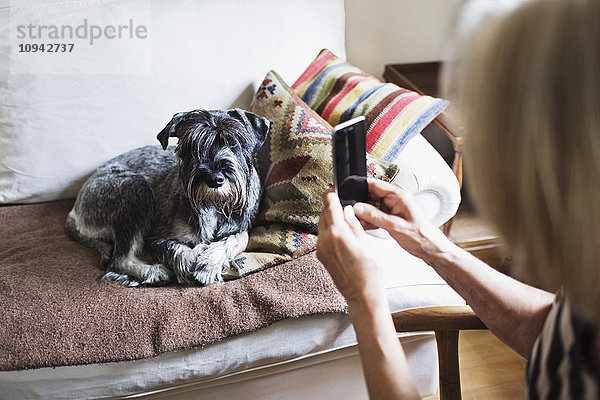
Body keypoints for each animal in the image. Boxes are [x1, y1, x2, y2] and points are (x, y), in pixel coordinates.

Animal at [65, 108, 270, 286]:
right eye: (191, 145)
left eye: (233, 141)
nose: (214, 178)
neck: (214, 205)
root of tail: (74, 212)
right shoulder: (156, 239)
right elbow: (176, 248)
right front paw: (192, 260)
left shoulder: (241, 228)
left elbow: (238, 238)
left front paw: (209, 264)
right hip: (135, 189)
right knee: (119, 259)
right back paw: (155, 272)